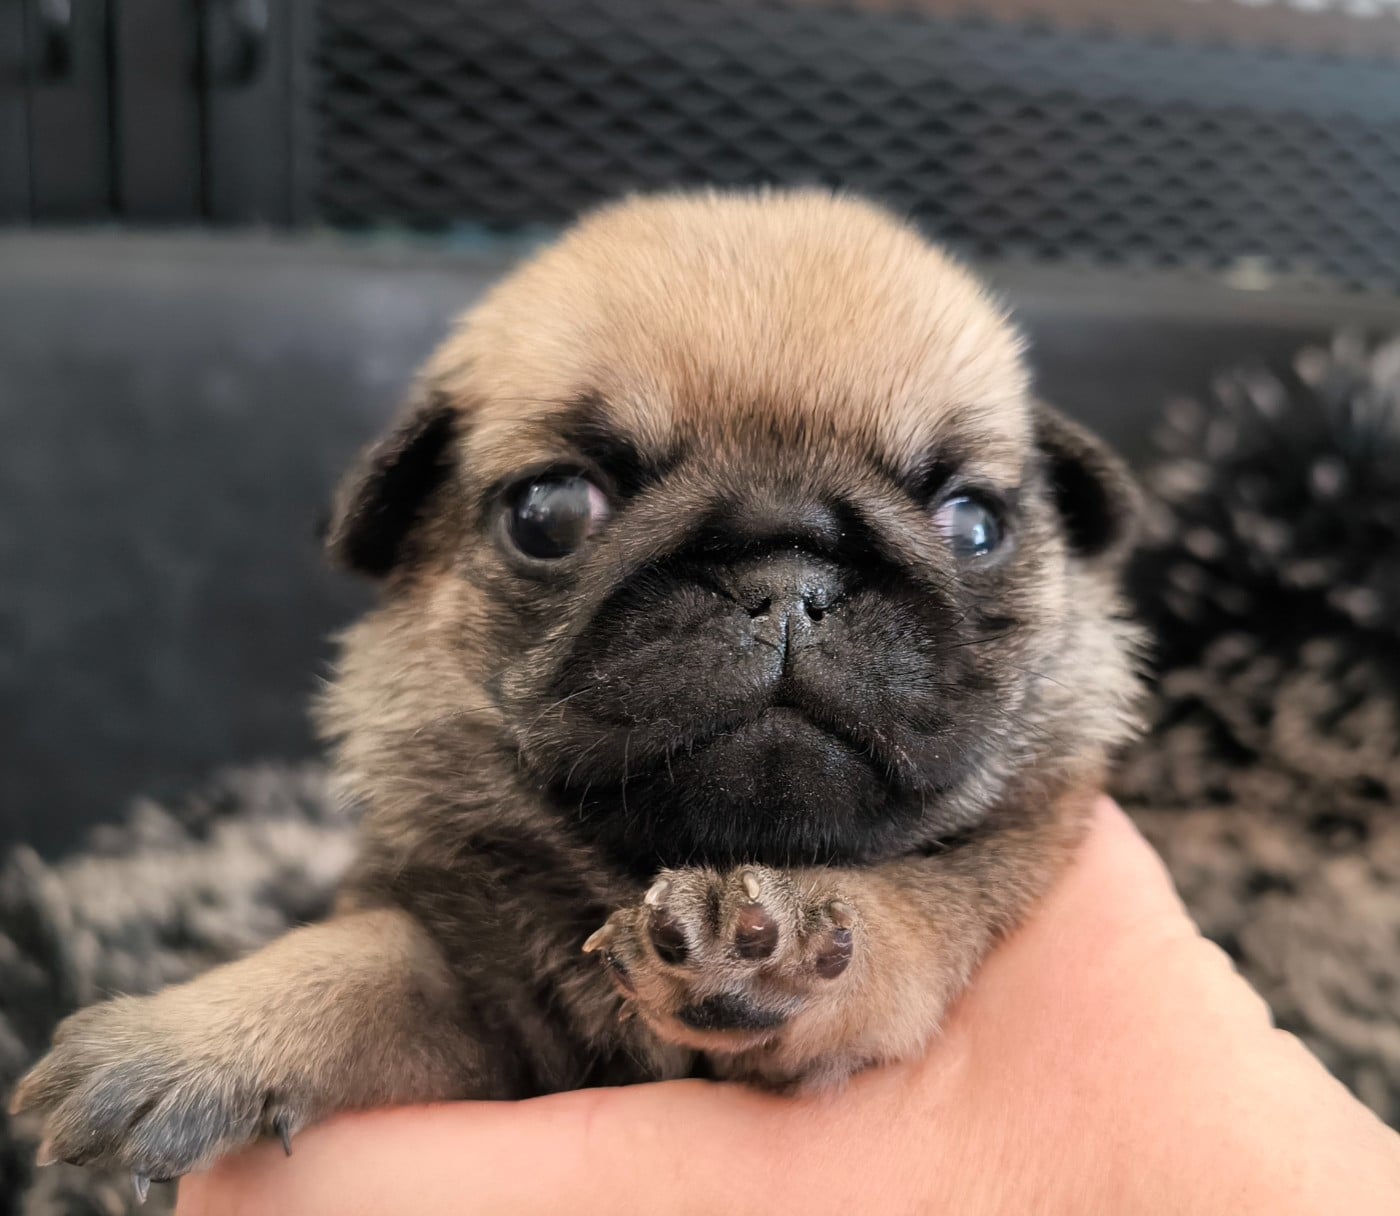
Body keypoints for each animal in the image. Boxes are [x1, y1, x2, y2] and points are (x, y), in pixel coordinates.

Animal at [11, 189, 1142, 1192]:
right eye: (550, 515)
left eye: (974, 524)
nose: (787, 577)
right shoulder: (473, 987)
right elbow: (363, 960)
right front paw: (197, 1032)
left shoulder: (994, 875)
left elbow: (905, 913)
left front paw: (770, 945)